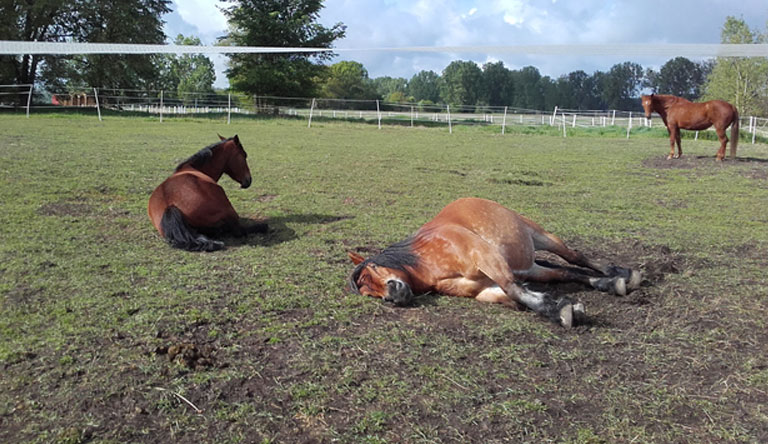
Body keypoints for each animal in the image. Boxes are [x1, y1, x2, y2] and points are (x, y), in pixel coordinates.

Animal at [348, 197, 640, 326]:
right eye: (367, 292)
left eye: (372, 269)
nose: (393, 295)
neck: (427, 261)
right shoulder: (484, 287)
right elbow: (515, 297)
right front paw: (560, 307)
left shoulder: (486, 258)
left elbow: (514, 291)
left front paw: (559, 310)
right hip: (530, 268)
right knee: (564, 273)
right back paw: (609, 283)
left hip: (541, 236)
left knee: (574, 257)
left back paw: (623, 273)